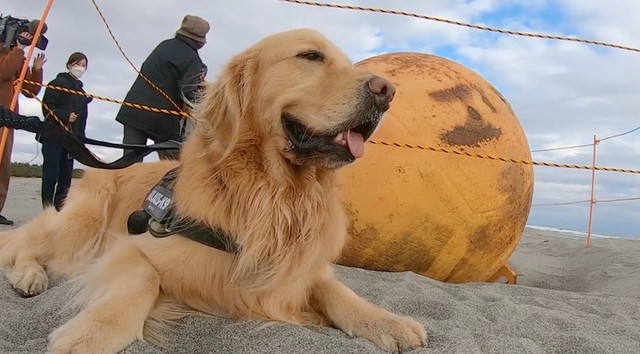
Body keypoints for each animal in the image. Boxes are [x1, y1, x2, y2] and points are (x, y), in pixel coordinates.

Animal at [1, 29, 430, 352]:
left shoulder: (296, 268)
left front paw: (386, 321)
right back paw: (29, 276)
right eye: (310, 56)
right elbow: (141, 279)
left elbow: (337, 291)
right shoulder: (136, 244)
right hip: (84, 224)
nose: (387, 90)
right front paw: (90, 333)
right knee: (26, 244)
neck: (274, 193)